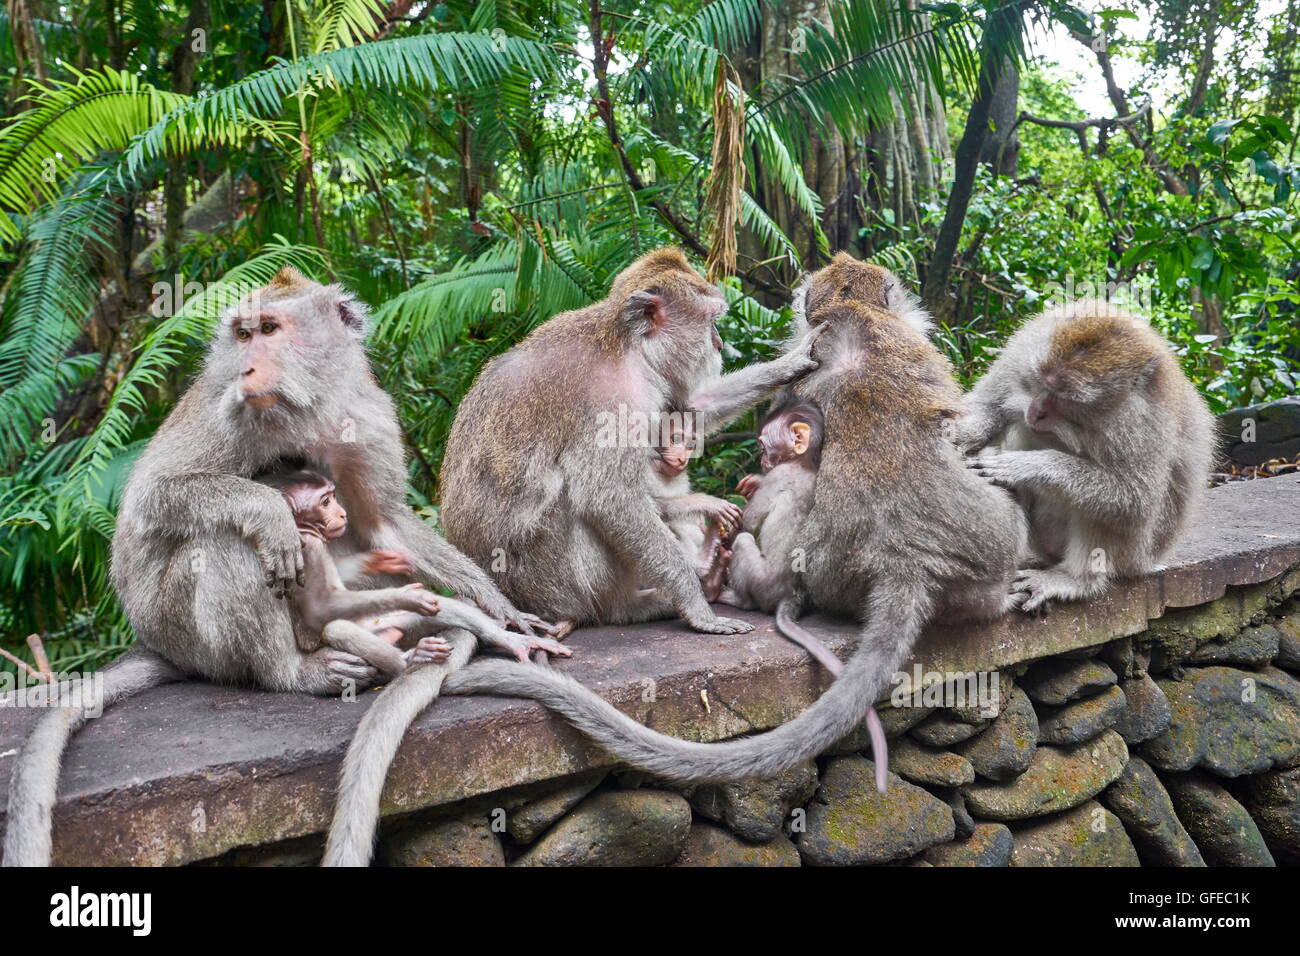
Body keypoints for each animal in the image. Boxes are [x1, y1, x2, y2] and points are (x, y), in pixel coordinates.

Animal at [3, 267, 548, 868]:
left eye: (269, 329)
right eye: (242, 335)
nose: (246, 365)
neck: (307, 407)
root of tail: (156, 642)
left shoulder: (367, 415)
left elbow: (385, 523)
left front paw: (497, 604)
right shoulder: (229, 411)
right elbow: (156, 495)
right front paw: (270, 512)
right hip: (180, 626)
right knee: (228, 543)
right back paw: (294, 670)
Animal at [956, 299, 1216, 613]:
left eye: (1064, 398)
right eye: (1042, 382)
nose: (1036, 411)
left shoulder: (1143, 425)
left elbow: (1135, 500)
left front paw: (1024, 466)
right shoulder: (1025, 347)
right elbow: (989, 405)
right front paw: (963, 433)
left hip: (1134, 554)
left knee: (1103, 513)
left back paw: (1075, 579)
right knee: (1023, 430)